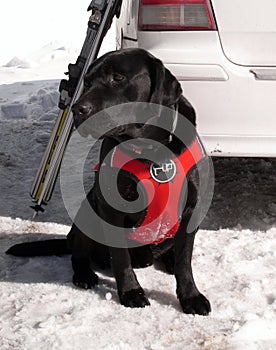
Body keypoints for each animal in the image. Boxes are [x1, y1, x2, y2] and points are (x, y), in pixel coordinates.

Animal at [8, 48, 211, 314]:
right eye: (87, 82)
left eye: (118, 78)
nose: (77, 109)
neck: (150, 150)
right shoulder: (111, 207)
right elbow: (121, 258)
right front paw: (131, 292)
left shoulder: (191, 208)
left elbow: (184, 261)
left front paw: (190, 296)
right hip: (87, 211)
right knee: (78, 253)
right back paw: (84, 274)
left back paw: (166, 258)